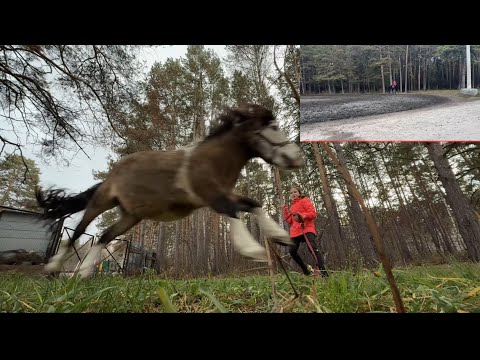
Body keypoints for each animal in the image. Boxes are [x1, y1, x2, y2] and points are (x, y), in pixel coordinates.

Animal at [36, 104, 304, 278]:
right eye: (274, 127)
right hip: (102, 201)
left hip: (131, 216)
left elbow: (254, 204)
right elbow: (232, 212)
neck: (213, 158)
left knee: (104, 236)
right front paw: (253, 250)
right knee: (79, 231)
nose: (296, 157)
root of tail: (111, 174)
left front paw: (280, 235)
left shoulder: (224, 193)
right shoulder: (211, 196)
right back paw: (53, 267)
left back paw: (83, 272)